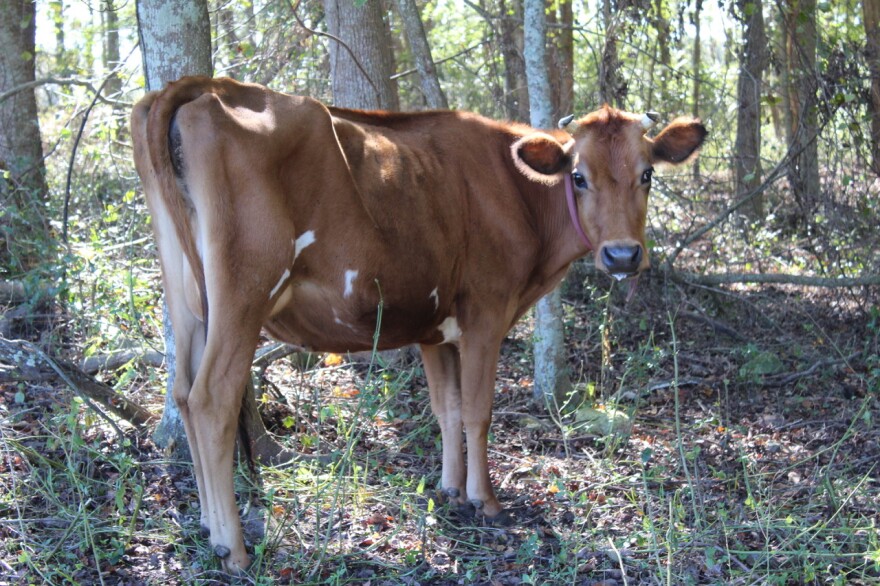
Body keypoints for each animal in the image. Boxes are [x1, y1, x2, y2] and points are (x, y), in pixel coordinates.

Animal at [131, 76, 708, 572]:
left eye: (647, 174)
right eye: (580, 177)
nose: (622, 255)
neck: (520, 198)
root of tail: (204, 85)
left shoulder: (435, 327)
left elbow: (446, 408)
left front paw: (450, 488)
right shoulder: (485, 313)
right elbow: (477, 410)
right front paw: (484, 500)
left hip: (186, 293)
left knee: (181, 391)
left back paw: (208, 528)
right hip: (246, 287)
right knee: (212, 397)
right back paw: (233, 547)